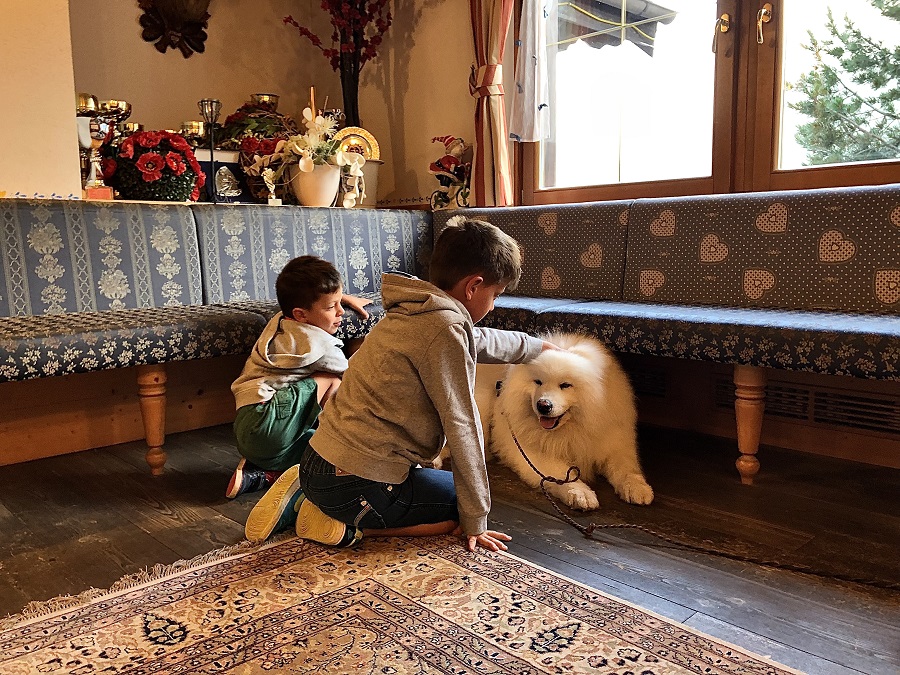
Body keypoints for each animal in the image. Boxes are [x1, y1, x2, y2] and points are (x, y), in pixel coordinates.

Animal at [476, 333, 653, 511]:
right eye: (538, 382)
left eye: (566, 385)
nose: (543, 405)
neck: (574, 428)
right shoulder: (529, 452)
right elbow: (562, 474)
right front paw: (581, 493)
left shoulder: (614, 444)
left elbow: (626, 468)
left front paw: (637, 488)